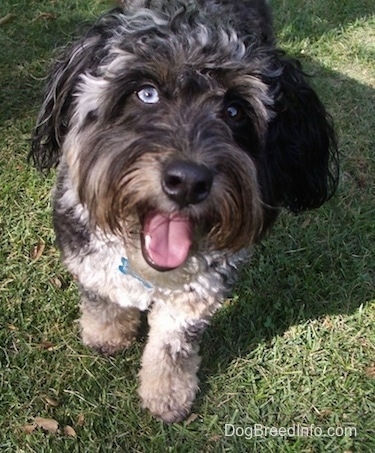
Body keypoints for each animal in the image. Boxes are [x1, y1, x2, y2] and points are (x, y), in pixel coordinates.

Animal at [30, 0, 340, 424]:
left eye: (234, 110)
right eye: (146, 93)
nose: (189, 182)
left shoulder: (199, 288)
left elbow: (172, 343)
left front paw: (168, 393)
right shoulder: (84, 244)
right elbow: (102, 294)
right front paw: (107, 334)